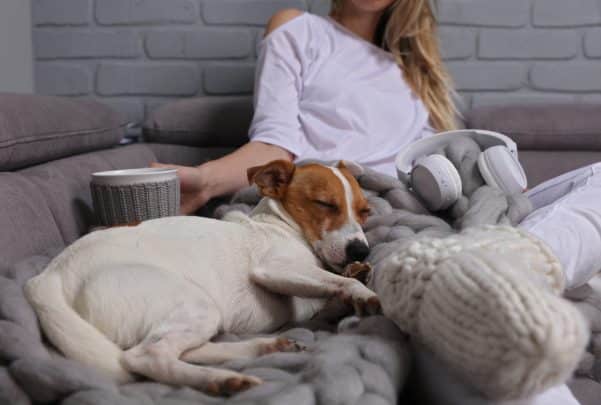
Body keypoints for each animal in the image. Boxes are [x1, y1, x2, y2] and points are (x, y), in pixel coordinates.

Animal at [25, 159, 380, 394]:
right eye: (324, 204)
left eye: (366, 212)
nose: (361, 251)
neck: (281, 227)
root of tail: (48, 277)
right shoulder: (275, 269)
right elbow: (340, 282)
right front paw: (362, 292)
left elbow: (333, 287)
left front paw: (357, 279)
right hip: (195, 305)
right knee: (146, 357)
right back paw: (220, 380)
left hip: (200, 315)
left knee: (182, 349)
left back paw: (264, 348)